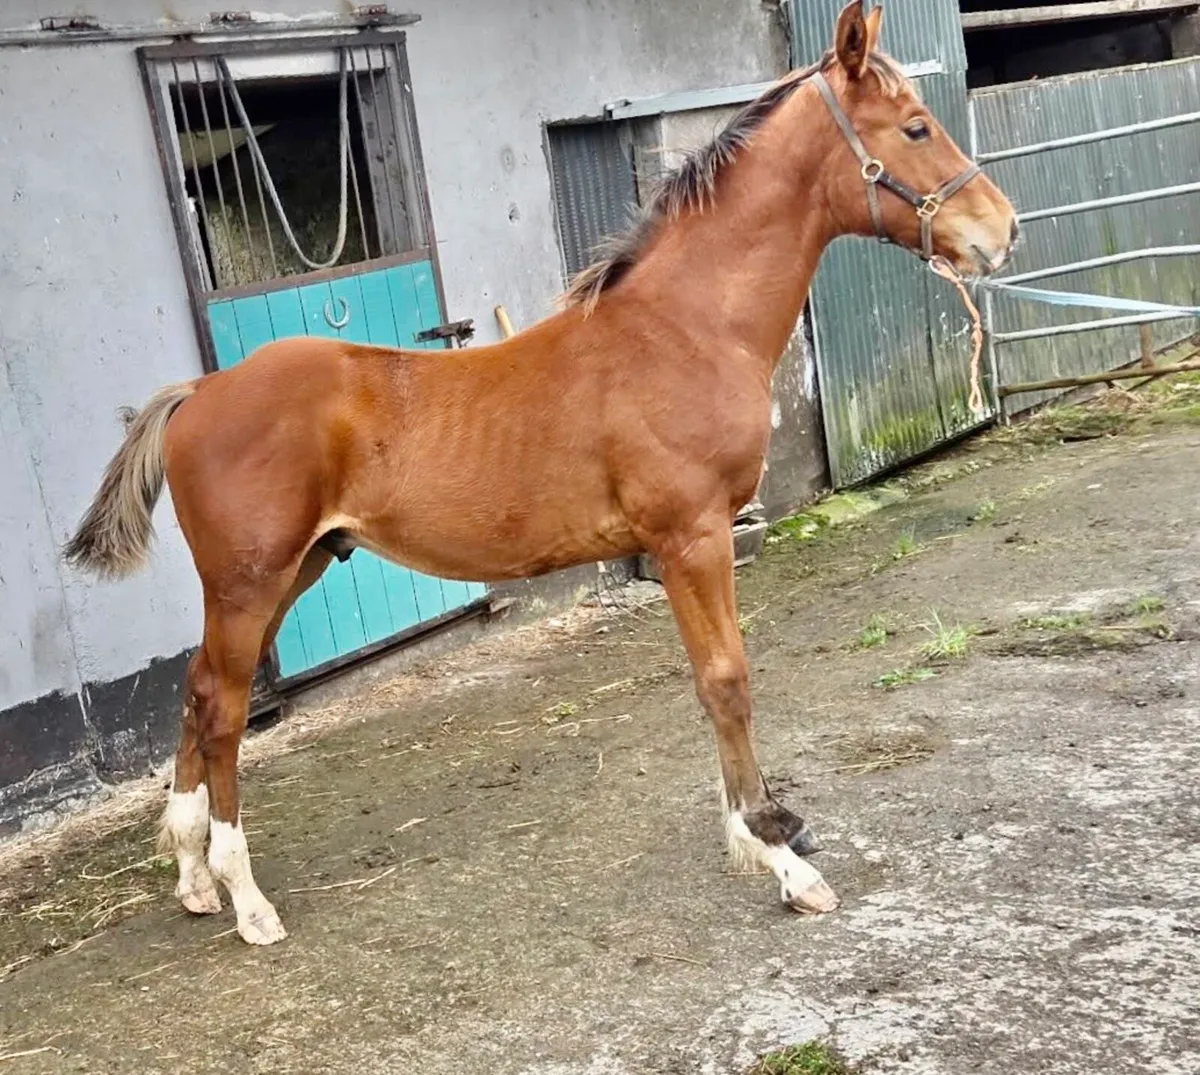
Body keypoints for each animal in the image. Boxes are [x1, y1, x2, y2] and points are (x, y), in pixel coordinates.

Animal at [64, 1, 1017, 945]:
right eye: (915, 125)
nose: (1002, 230)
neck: (681, 329)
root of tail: (200, 391)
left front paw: (771, 829)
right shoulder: (691, 537)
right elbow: (726, 680)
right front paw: (779, 854)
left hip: (292, 571)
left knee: (196, 699)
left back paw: (194, 878)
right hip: (250, 581)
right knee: (224, 711)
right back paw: (246, 898)